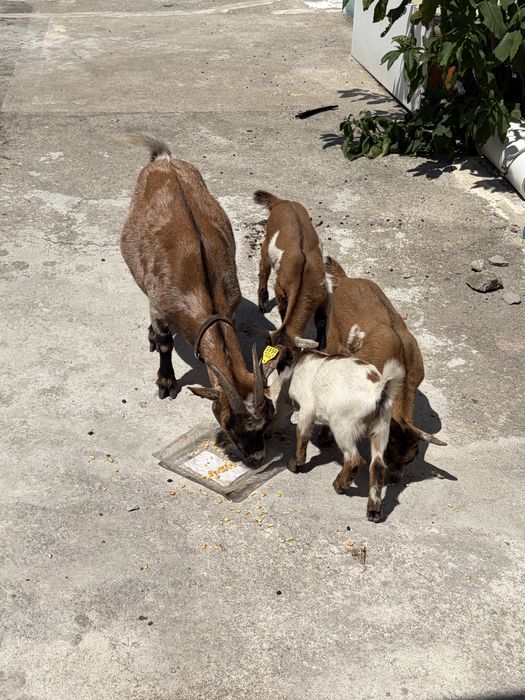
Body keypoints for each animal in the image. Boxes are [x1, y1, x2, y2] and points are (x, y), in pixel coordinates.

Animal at [120, 134, 274, 466]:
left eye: (268, 417)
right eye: (228, 421)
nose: (256, 456)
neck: (202, 290)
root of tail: (164, 160)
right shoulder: (160, 305)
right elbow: (166, 343)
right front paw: (166, 383)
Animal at [254, 191, 329, 348]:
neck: (302, 280)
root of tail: (282, 202)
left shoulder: (323, 292)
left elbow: (322, 320)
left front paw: (322, 342)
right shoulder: (280, 288)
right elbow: (283, 311)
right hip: (267, 240)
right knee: (264, 269)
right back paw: (262, 303)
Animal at [266, 339, 405, 522]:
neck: (298, 363)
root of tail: (378, 390)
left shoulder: (307, 409)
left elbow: (301, 436)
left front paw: (294, 464)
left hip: (343, 426)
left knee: (353, 459)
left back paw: (339, 485)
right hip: (381, 430)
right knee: (378, 466)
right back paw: (374, 511)